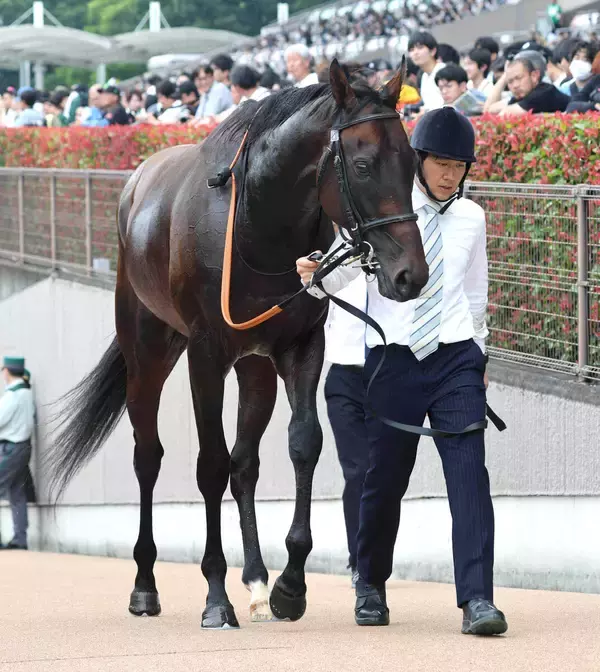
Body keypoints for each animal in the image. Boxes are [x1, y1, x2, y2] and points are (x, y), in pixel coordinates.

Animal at [47, 60, 428, 629]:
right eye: (362, 166)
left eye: (409, 164)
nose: (410, 275)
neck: (259, 226)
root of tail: (136, 184)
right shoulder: (206, 355)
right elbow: (210, 464)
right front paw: (215, 595)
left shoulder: (299, 345)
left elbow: (302, 443)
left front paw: (289, 585)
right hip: (149, 352)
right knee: (149, 456)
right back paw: (146, 585)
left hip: (255, 367)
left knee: (245, 464)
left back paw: (256, 579)